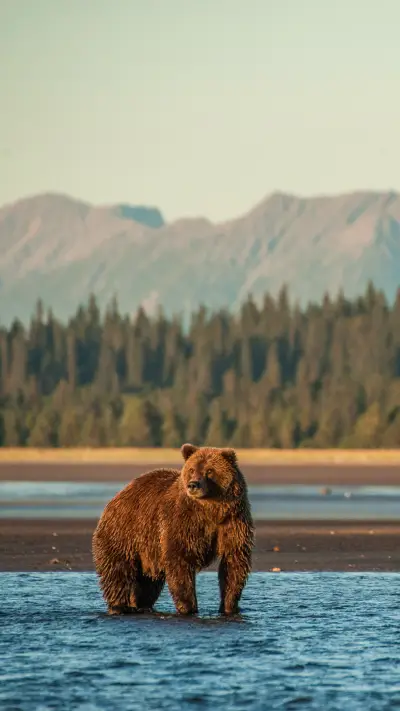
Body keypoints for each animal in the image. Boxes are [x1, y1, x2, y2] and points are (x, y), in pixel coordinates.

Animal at [92, 443, 254, 616]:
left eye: (209, 470)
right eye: (191, 469)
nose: (193, 485)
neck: (211, 510)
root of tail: (115, 498)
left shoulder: (232, 522)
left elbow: (233, 562)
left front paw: (229, 607)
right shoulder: (183, 522)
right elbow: (179, 560)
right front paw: (188, 607)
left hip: (147, 551)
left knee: (148, 583)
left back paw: (141, 605)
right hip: (124, 534)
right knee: (118, 572)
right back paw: (119, 606)